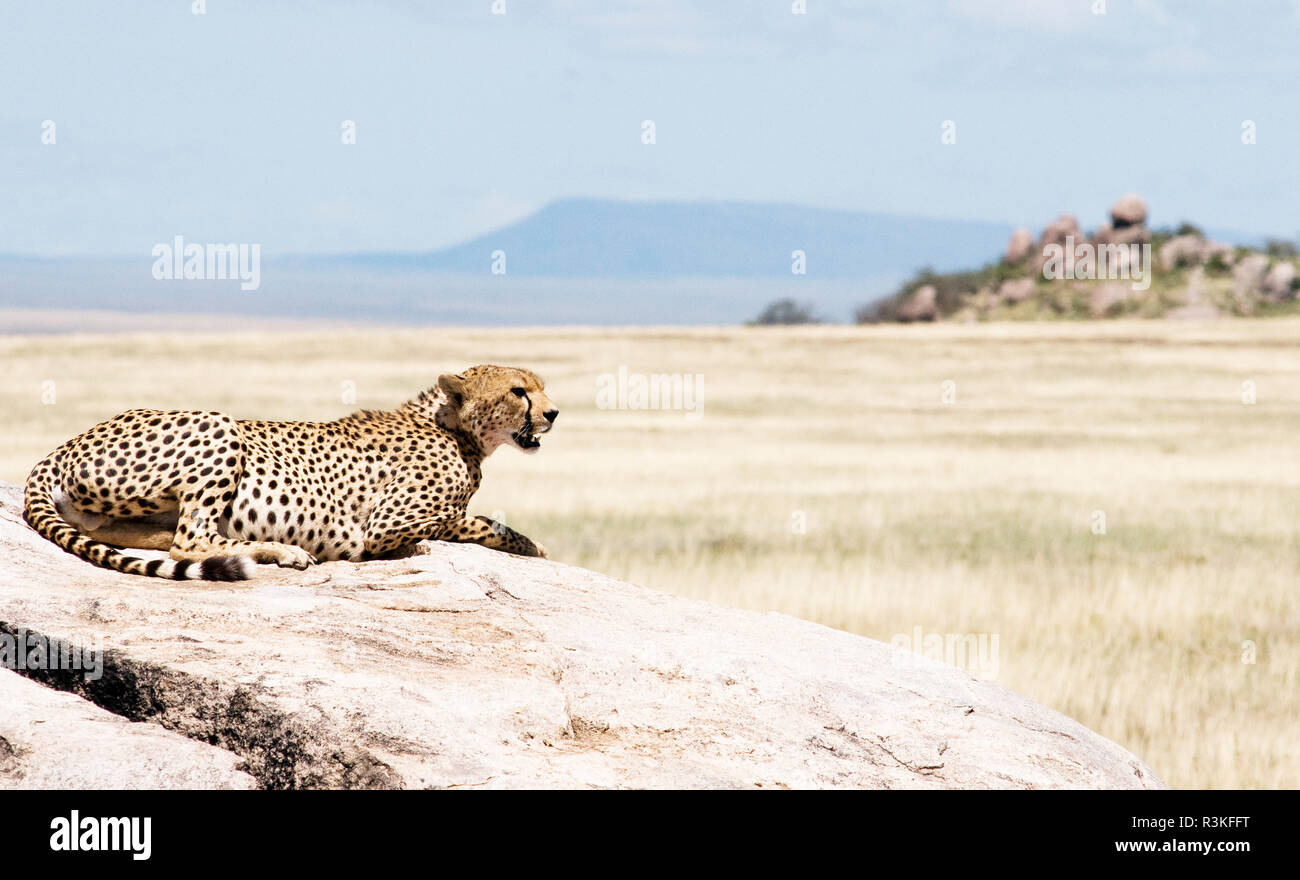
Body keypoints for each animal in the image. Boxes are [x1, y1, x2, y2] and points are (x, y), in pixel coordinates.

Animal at [22, 365, 557, 581]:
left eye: (540, 387)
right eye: (518, 391)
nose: (553, 413)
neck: (454, 426)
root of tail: (65, 444)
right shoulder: (387, 524)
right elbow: (482, 522)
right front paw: (536, 547)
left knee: (154, 537)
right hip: (219, 426)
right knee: (188, 540)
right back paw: (285, 551)